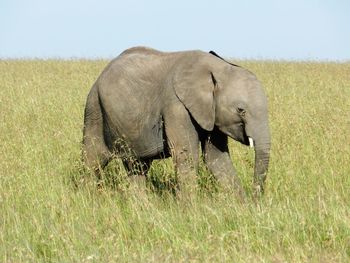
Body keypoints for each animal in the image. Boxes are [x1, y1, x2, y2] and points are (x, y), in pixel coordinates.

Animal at [82, 46, 270, 198]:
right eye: (241, 110)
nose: (255, 199)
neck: (218, 67)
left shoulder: (211, 113)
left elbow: (216, 158)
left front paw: (242, 208)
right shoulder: (176, 106)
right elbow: (186, 155)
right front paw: (190, 212)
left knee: (137, 166)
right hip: (94, 109)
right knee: (94, 159)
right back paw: (90, 199)